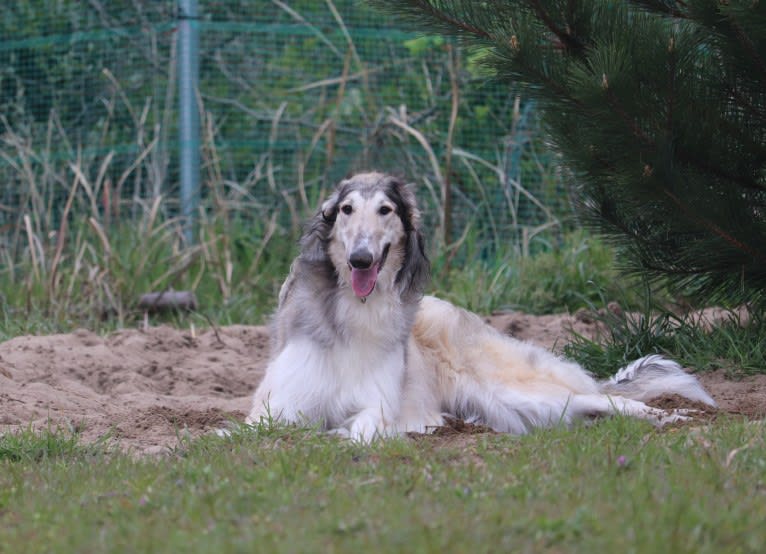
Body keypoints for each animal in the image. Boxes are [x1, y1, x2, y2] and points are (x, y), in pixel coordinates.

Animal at [248, 171, 720, 440]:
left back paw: (675, 417)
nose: (360, 259)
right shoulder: (278, 406)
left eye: (385, 210)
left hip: (520, 391)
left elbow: (361, 430)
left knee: (612, 400)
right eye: (346, 209)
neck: (354, 311)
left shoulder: (376, 407)